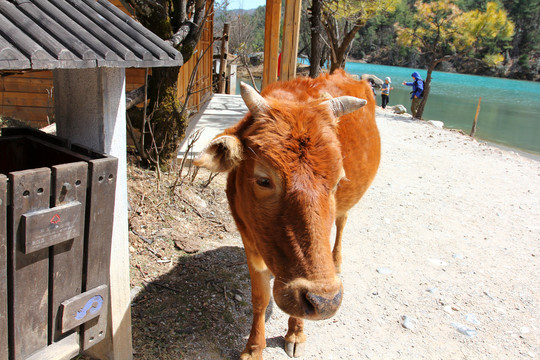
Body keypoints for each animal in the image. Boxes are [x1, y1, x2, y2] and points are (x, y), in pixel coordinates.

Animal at [194, 69, 380, 358]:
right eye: (263, 180)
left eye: (338, 180)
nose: (325, 301)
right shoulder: (249, 239)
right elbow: (260, 297)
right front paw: (253, 348)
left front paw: (296, 333)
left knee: (342, 221)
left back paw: (336, 260)